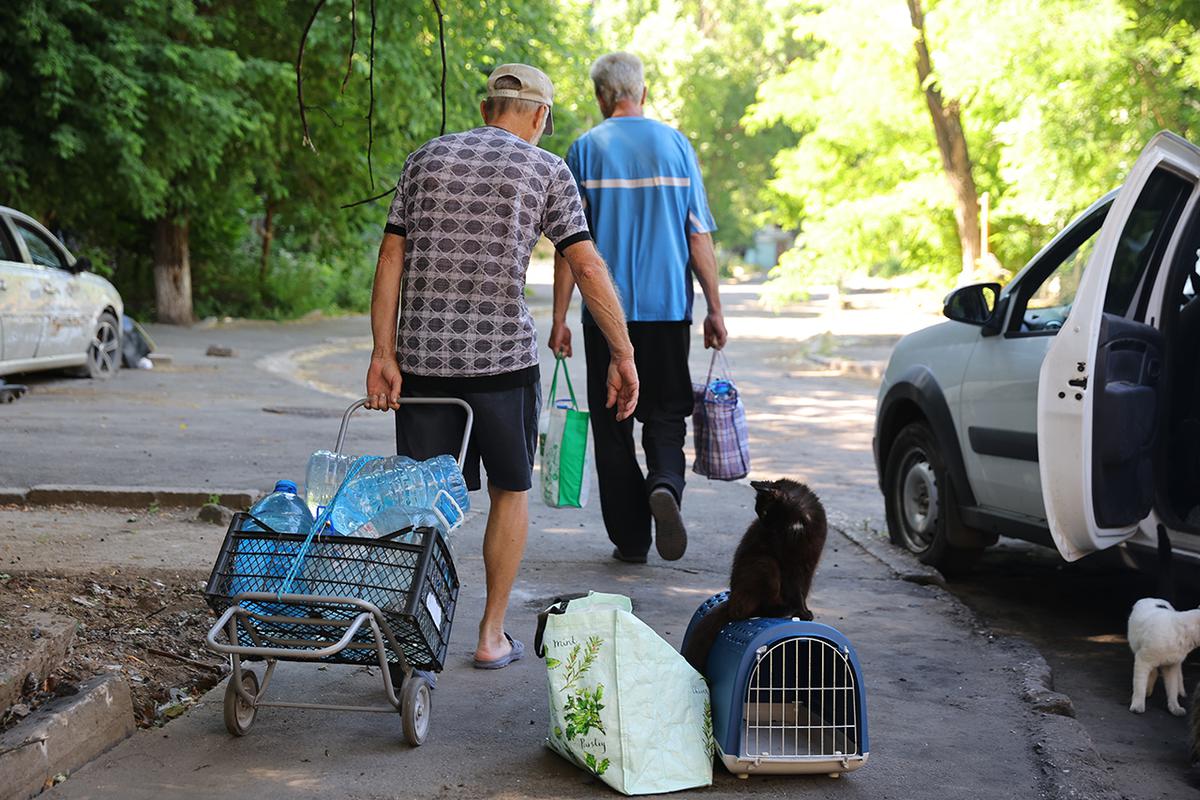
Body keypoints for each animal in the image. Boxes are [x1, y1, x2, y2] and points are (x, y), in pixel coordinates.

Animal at [686, 479, 825, 671]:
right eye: (759, 512)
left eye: (765, 511)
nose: (763, 525)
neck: (798, 522)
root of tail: (731, 602)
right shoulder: (789, 566)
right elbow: (795, 591)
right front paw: (801, 613)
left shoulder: (807, 565)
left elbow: (801, 593)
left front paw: (804, 612)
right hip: (765, 564)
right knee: (749, 610)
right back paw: (783, 611)